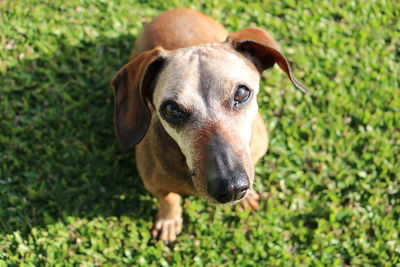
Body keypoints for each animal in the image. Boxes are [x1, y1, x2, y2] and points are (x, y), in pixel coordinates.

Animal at [111, 8, 308, 243]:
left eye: (241, 93)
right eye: (171, 109)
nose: (232, 188)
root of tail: (173, 10)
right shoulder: (155, 184)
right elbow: (169, 199)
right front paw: (169, 221)